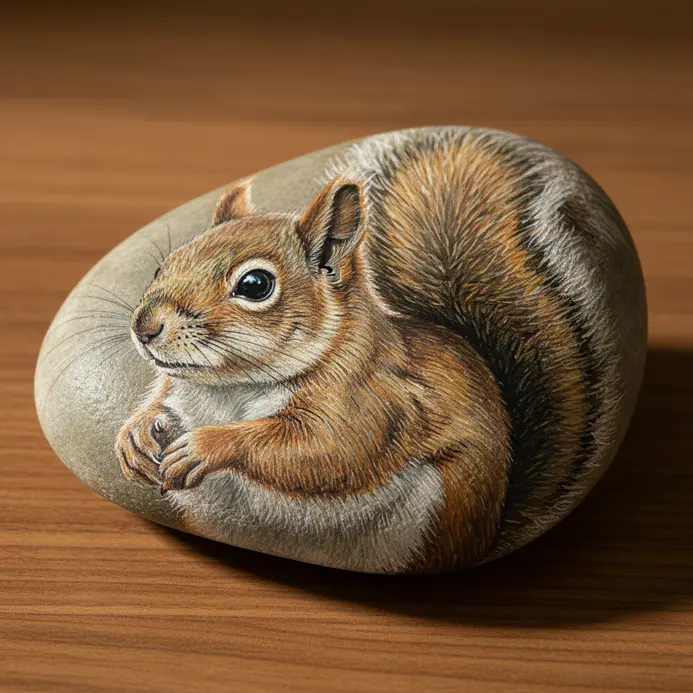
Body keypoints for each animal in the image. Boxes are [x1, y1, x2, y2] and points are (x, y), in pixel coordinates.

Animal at [115, 127, 630, 574]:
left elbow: (329, 451)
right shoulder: (179, 392)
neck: (229, 388)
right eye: (164, 264)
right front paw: (135, 435)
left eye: (255, 285)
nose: (145, 327)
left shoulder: (375, 401)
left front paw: (208, 444)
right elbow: (161, 405)